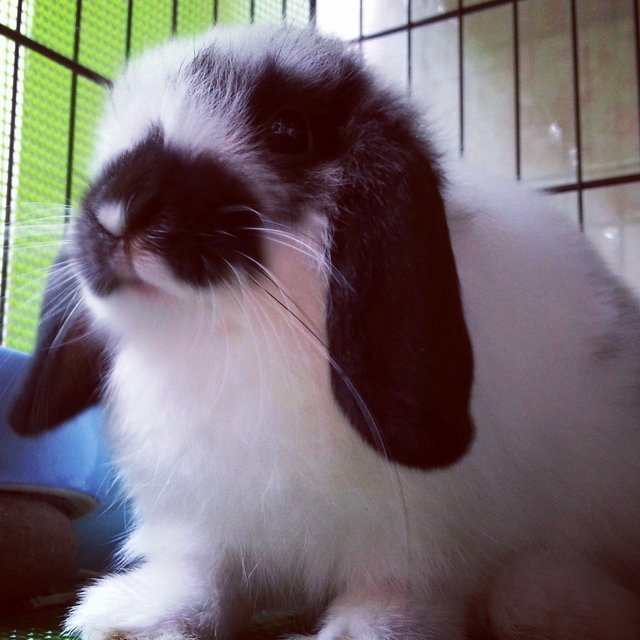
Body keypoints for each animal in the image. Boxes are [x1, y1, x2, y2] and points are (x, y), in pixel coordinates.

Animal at [8, 25, 640, 640]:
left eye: (289, 132)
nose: (117, 212)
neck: (230, 336)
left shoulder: (416, 540)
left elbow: (398, 591)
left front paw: (363, 631)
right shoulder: (204, 524)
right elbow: (206, 576)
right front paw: (132, 617)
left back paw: (556, 603)